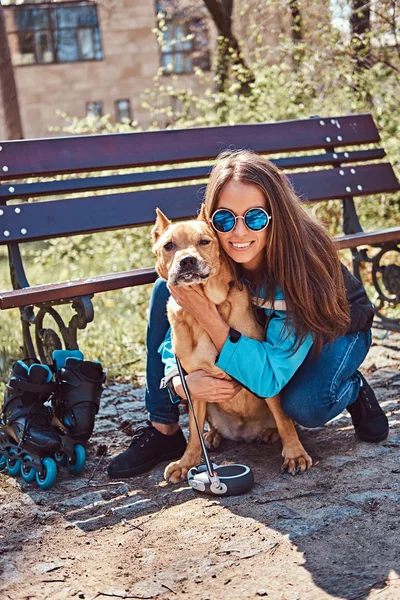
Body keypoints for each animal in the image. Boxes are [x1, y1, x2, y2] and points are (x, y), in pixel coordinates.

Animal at [152, 206, 310, 482]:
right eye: (168, 246)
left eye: (204, 242)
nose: (187, 261)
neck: (206, 307)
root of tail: (243, 433)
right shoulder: (196, 387)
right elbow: (193, 433)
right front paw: (186, 462)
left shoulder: (265, 375)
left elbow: (284, 419)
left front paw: (294, 454)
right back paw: (213, 435)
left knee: (280, 422)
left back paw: (270, 434)